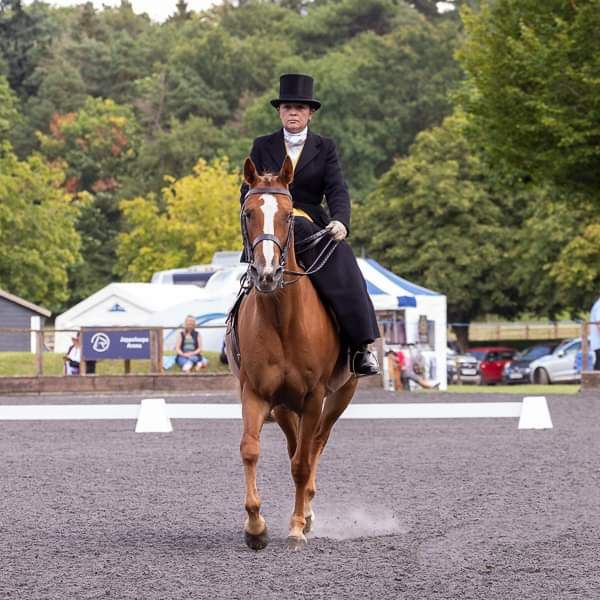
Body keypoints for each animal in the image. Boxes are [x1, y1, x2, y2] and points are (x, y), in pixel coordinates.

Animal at [225, 157, 356, 552]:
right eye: (248, 212)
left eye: (287, 215)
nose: (267, 274)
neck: (282, 317)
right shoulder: (255, 393)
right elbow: (250, 450)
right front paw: (256, 528)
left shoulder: (314, 397)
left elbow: (302, 463)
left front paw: (297, 529)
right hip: (284, 407)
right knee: (297, 445)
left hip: (340, 395)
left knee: (315, 446)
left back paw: (307, 514)